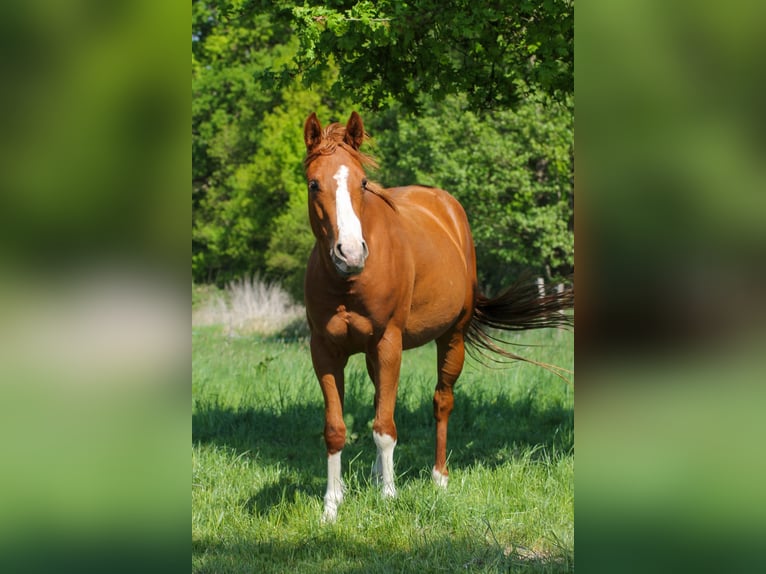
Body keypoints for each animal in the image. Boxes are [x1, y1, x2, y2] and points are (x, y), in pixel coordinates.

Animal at [303, 111, 573, 522]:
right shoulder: (325, 351)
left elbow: (385, 427)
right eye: (314, 183)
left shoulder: (389, 343)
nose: (350, 253)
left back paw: (438, 476)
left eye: (362, 182)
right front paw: (331, 507)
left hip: (451, 337)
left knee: (441, 402)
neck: (349, 284)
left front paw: (389, 498)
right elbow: (336, 428)